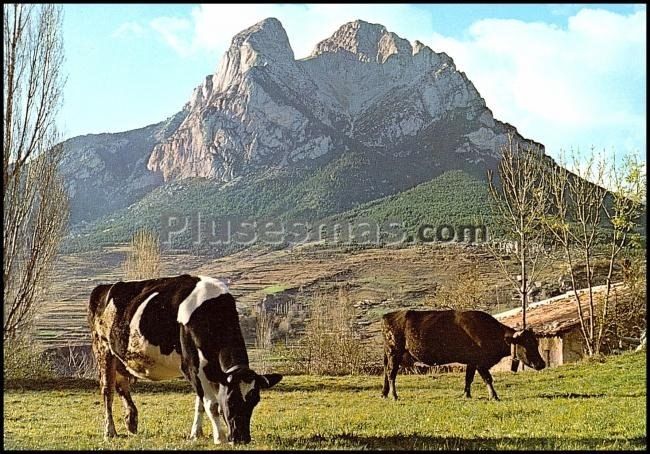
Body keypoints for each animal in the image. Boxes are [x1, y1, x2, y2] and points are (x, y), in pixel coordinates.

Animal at [86, 274, 280, 444]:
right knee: (108, 390)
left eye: (255, 401)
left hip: (120, 358)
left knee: (122, 385)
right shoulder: (192, 366)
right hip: (103, 349)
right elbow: (211, 404)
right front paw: (220, 437)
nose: (242, 439)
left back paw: (131, 422)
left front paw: (196, 433)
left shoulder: (208, 370)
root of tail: (104, 287)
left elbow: (200, 403)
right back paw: (110, 431)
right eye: (231, 400)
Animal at [380, 308, 540, 400]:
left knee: (387, 373)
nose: (542, 363)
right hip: (394, 352)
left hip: (391, 355)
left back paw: (384, 394)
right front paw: (494, 396)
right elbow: (488, 379)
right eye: (528, 344)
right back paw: (394, 396)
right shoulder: (480, 362)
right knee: (391, 374)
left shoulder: (472, 362)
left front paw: (466, 395)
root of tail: (388, 316)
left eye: (536, 343)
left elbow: (468, 379)